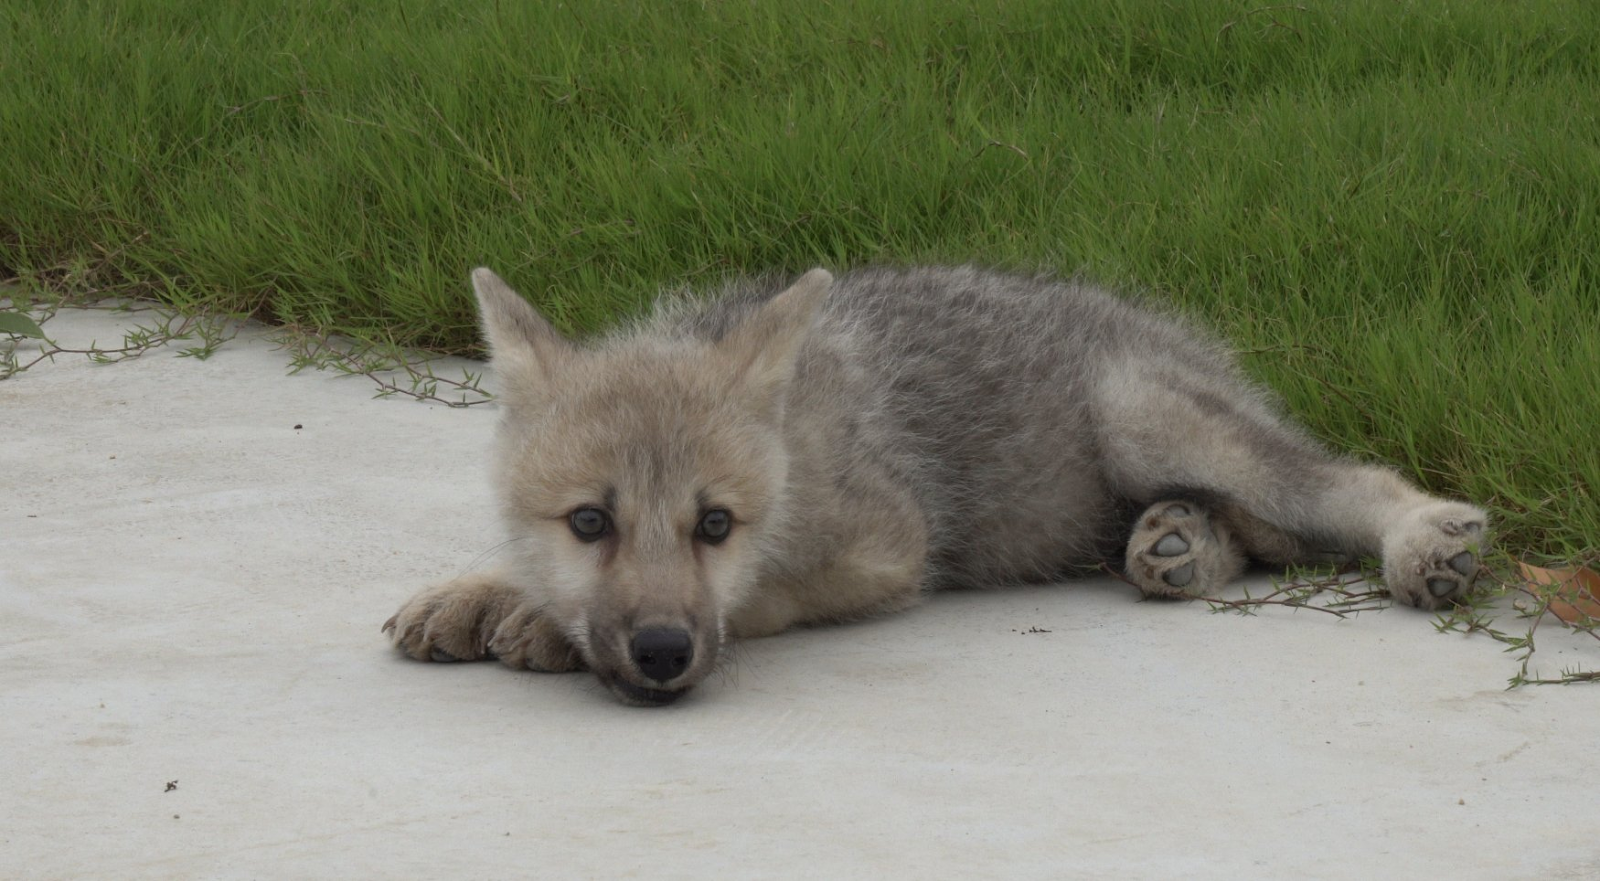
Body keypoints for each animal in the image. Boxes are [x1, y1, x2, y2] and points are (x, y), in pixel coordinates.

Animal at [384, 265, 1484, 706]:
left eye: (715, 525)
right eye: (588, 520)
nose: (660, 654)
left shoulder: (889, 550)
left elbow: (761, 598)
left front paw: (537, 619)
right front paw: (488, 588)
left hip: (1144, 415)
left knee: (1334, 485)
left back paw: (1423, 537)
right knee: (1257, 533)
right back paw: (1177, 541)